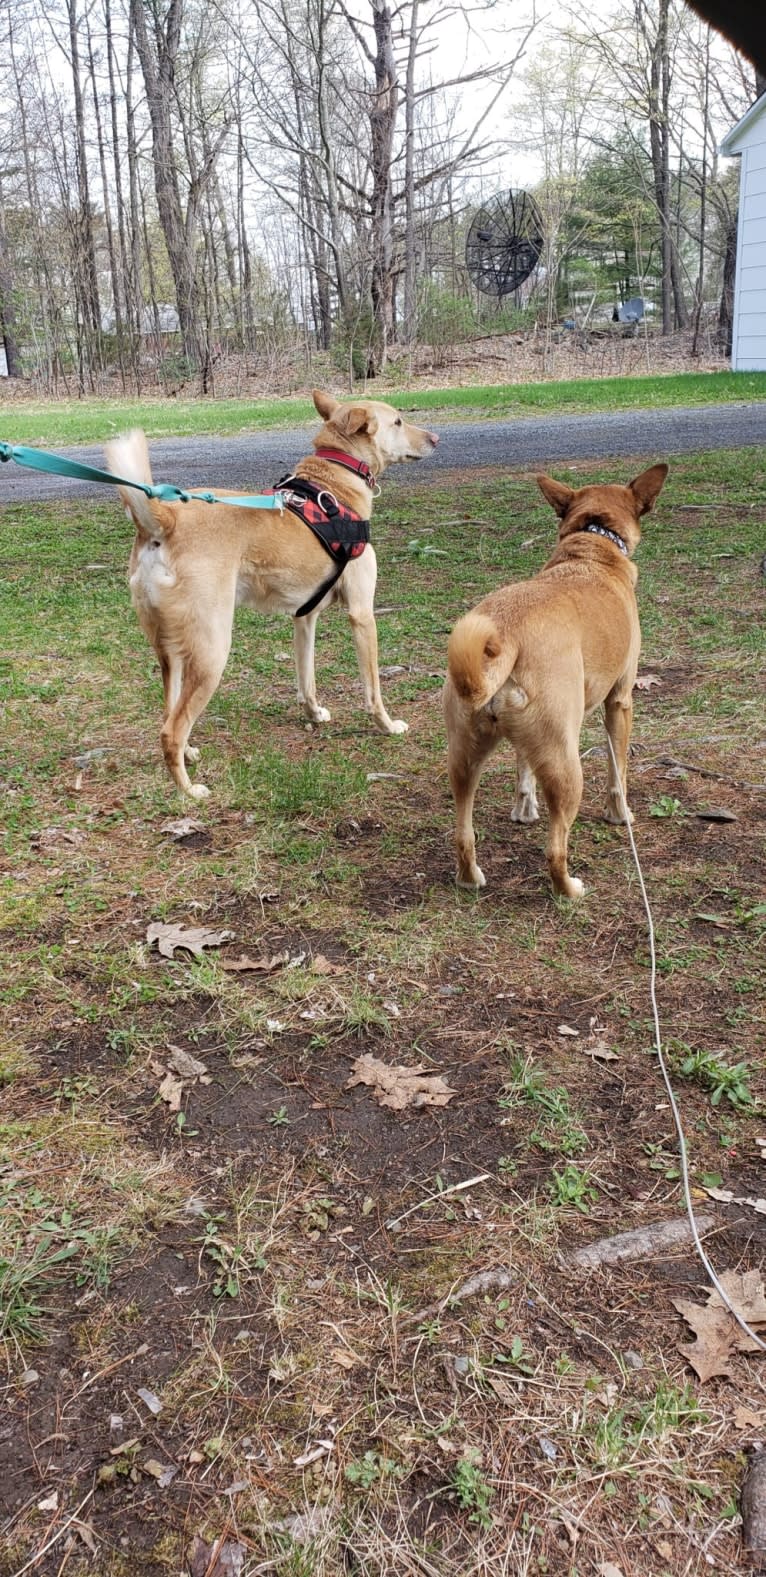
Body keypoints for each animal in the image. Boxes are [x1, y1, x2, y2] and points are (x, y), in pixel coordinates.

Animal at [106, 387, 438, 794]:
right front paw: (388, 726)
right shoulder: (362, 615)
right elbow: (373, 689)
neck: (337, 481)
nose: (436, 439)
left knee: (169, 713)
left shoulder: (305, 617)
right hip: (212, 652)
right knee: (171, 730)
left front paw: (314, 713)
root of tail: (164, 520)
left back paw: (188, 754)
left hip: (171, 654)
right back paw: (188, 790)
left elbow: (306, 679)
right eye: (398, 421)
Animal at [444, 463, 668, 902]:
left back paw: (469, 876)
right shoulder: (620, 701)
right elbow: (618, 774)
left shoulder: (525, 742)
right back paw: (569, 888)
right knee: (555, 849)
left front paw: (524, 808)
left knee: (463, 833)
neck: (592, 544)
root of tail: (507, 634)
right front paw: (620, 814)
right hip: (567, 767)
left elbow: (522, 768)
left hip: (465, 758)